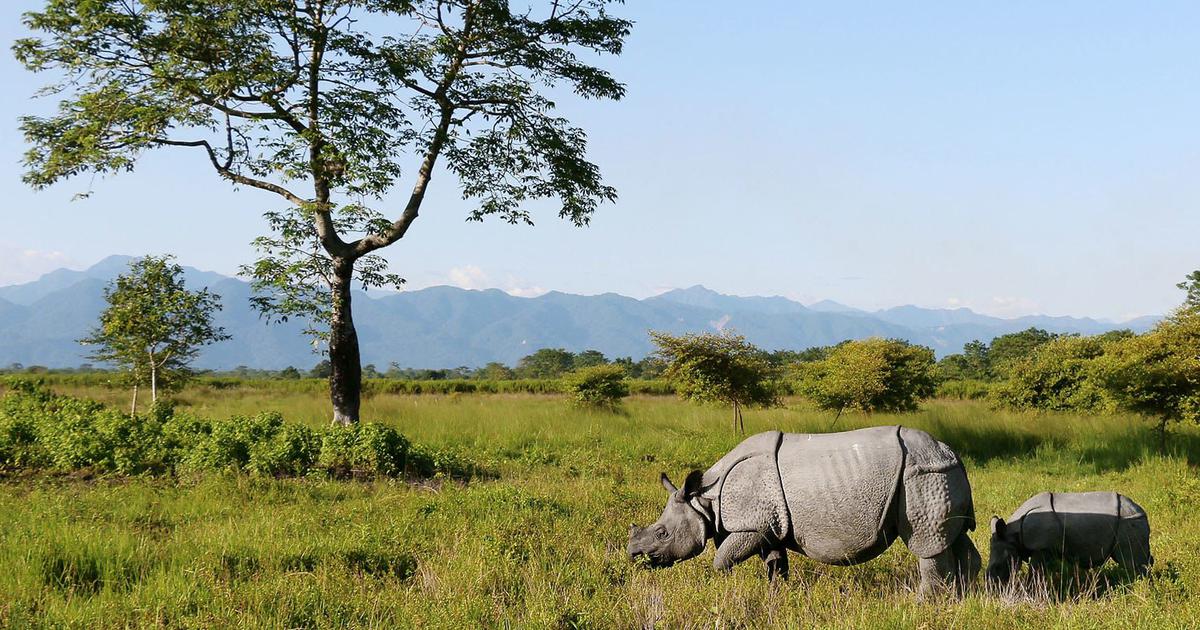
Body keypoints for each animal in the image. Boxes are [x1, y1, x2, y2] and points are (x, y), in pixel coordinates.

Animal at [627, 426, 980, 597]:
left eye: (662, 533)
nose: (633, 554)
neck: (704, 500)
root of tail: (951, 452)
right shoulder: (768, 527)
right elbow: (775, 562)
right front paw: (777, 595)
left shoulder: (750, 526)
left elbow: (722, 558)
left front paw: (723, 585)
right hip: (938, 474)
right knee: (952, 536)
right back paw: (966, 596)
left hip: (921, 475)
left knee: (926, 543)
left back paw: (925, 602)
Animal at [986, 491, 1152, 585]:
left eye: (998, 567)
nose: (991, 587)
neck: (1012, 536)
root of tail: (1140, 509)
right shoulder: (1048, 548)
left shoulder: (1042, 547)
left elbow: (1035, 572)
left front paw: (1030, 589)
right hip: (1128, 520)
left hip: (1128, 521)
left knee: (1131, 561)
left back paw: (1141, 586)